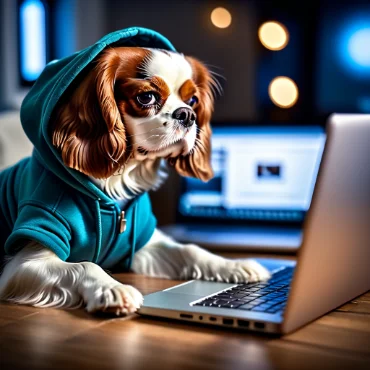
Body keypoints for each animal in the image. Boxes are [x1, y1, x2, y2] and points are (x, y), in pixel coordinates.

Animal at [0, 43, 268, 316]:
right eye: (146, 97)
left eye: (192, 100)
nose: (187, 114)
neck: (114, 185)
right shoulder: (27, 260)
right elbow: (86, 265)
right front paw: (112, 289)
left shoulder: (139, 247)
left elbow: (190, 249)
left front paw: (233, 265)